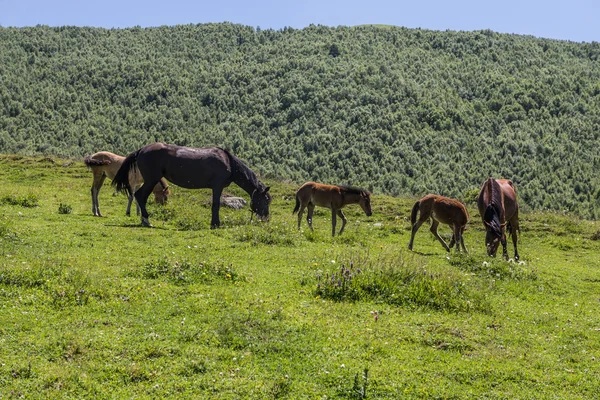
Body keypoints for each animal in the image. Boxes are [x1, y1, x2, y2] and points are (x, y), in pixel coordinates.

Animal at [112, 142, 272, 227]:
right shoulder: (217, 186)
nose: (266, 218)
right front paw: (215, 224)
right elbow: (216, 205)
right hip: (151, 179)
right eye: (265, 200)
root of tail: (141, 150)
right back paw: (146, 220)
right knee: (140, 196)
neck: (229, 162)